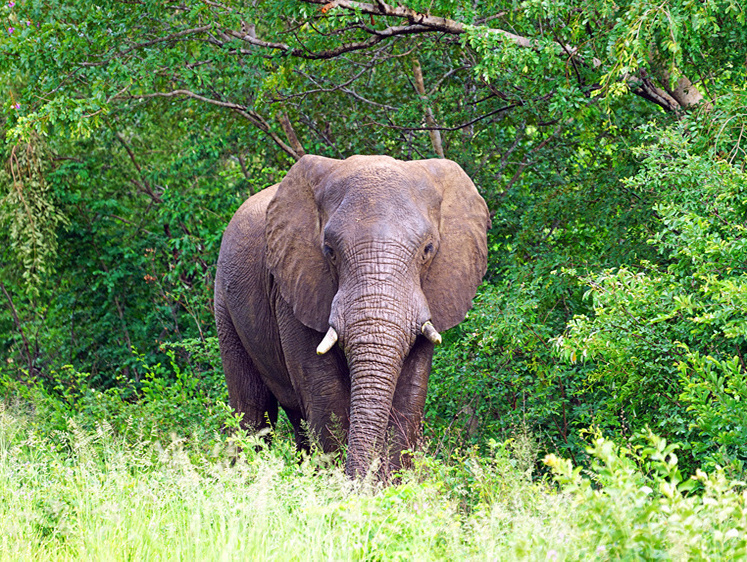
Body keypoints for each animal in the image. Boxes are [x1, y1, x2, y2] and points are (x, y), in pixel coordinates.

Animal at [213, 154, 488, 476]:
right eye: (329, 250)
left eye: (428, 249)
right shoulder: (294, 285)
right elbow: (327, 393)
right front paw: (339, 484)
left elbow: (410, 395)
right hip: (225, 300)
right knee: (251, 409)